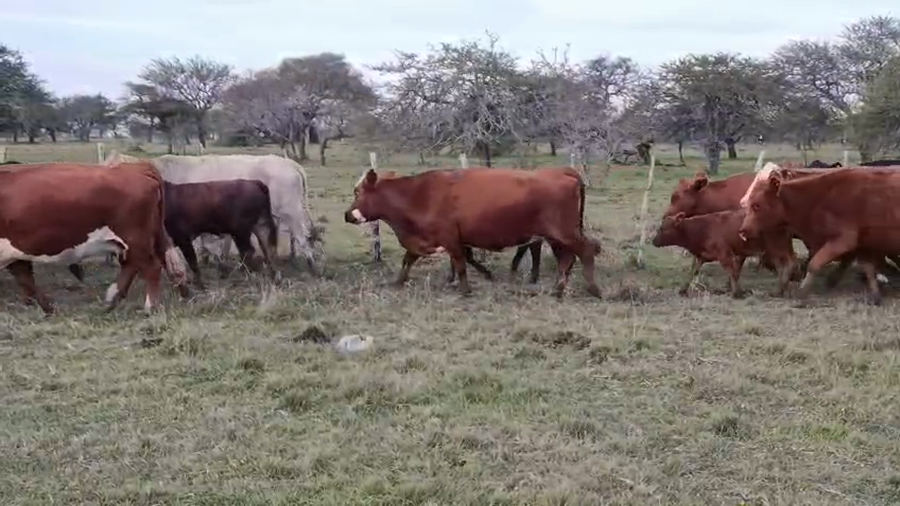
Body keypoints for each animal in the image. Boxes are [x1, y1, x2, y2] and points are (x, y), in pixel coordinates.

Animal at [0, 162, 190, 315]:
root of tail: (134, 168)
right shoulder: (14, 252)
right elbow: (25, 279)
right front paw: (47, 308)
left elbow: (25, 280)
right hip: (137, 241)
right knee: (134, 265)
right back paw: (112, 301)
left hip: (135, 239)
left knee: (151, 267)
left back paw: (150, 307)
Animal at [344, 167, 601, 298]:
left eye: (357, 192)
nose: (347, 215)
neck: (420, 194)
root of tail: (565, 175)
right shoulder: (427, 239)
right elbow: (408, 259)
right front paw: (398, 282)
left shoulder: (450, 238)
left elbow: (460, 264)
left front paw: (466, 289)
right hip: (555, 236)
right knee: (566, 259)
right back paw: (558, 290)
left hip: (564, 232)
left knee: (586, 251)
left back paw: (593, 289)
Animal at [652, 209, 797, 298]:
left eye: (663, 228)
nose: (653, 241)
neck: (703, 228)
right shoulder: (701, 256)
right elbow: (693, 271)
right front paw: (683, 290)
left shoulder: (725, 254)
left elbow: (732, 271)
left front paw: (737, 292)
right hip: (773, 250)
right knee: (781, 267)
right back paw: (779, 290)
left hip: (777, 247)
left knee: (790, 263)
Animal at [738, 167, 900, 305]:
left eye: (757, 205)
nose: (742, 231)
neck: (818, 199)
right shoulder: (862, 245)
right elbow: (869, 269)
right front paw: (875, 296)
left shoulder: (842, 241)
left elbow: (814, 264)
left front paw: (802, 293)